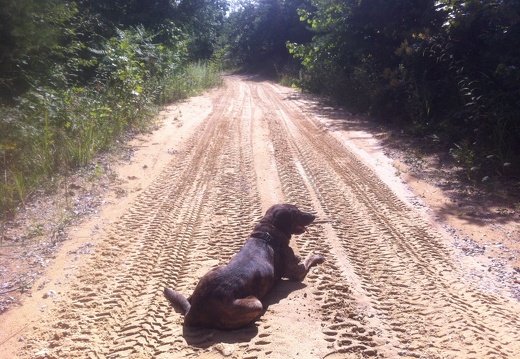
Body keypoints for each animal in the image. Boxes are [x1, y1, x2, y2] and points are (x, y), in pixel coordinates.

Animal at [165, 204, 322, 330]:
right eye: (297, 212)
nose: (313, 215)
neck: (267, 233)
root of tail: (193, 311)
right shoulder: (297, 272)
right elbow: (308, 259)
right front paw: (317, 256)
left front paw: (300, 256)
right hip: (255, 303)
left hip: (212, 271)